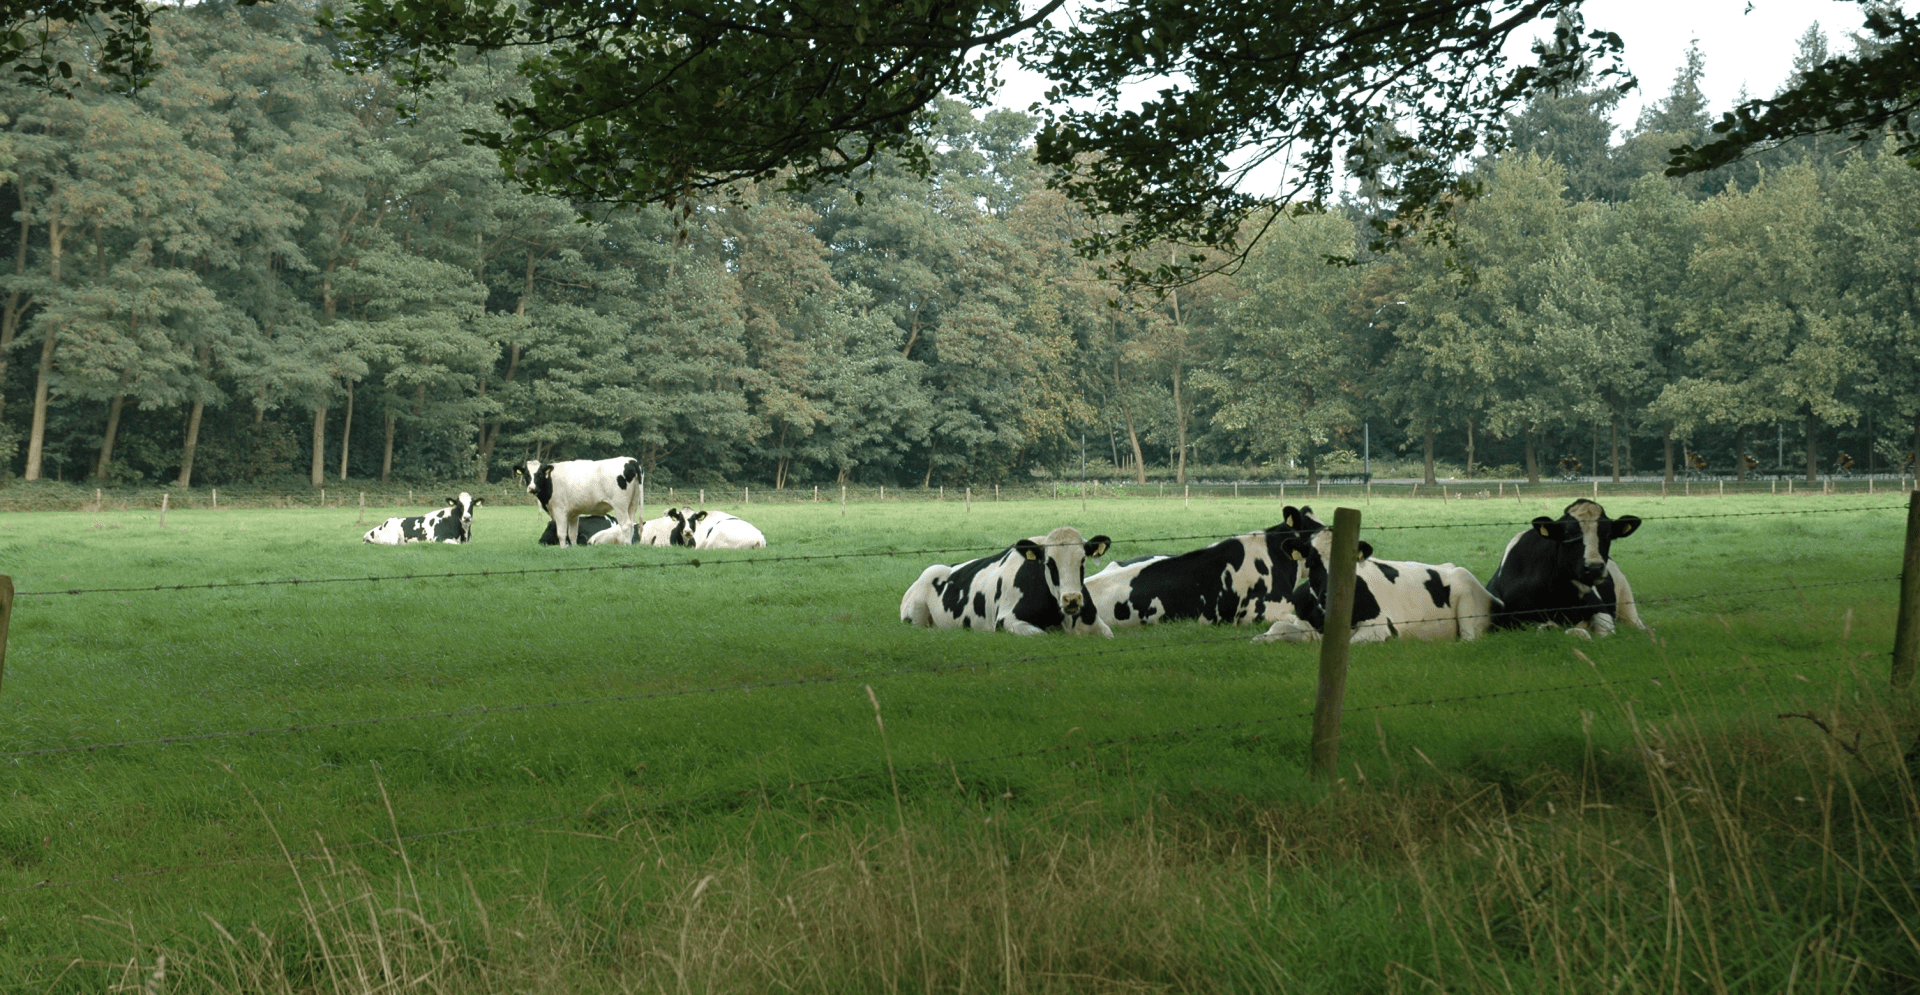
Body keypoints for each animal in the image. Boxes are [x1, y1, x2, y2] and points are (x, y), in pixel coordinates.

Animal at [898, 530, 1113, 641]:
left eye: (1082, 560)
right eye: (1049, 563)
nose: (1072, 599)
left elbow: (1108, 634)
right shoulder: (1006, 620)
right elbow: (1040, 634)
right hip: (917, 609)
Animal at [1251, 507, 1505, 649]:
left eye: (1351, 562)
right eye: (1312, 560)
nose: (1329, 593)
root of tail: (1452, 567)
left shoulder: (1381, 627)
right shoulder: (1303, 621)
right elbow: (1277, 627)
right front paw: (1259, 639)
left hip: (1468, 603)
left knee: (1469, 638)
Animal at [1489, 499, 1643, 641]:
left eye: (1608, 534)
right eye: (1568, 534)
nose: (1594, 567)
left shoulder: (1600, 608)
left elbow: (1601, 633)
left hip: (1627, 604)